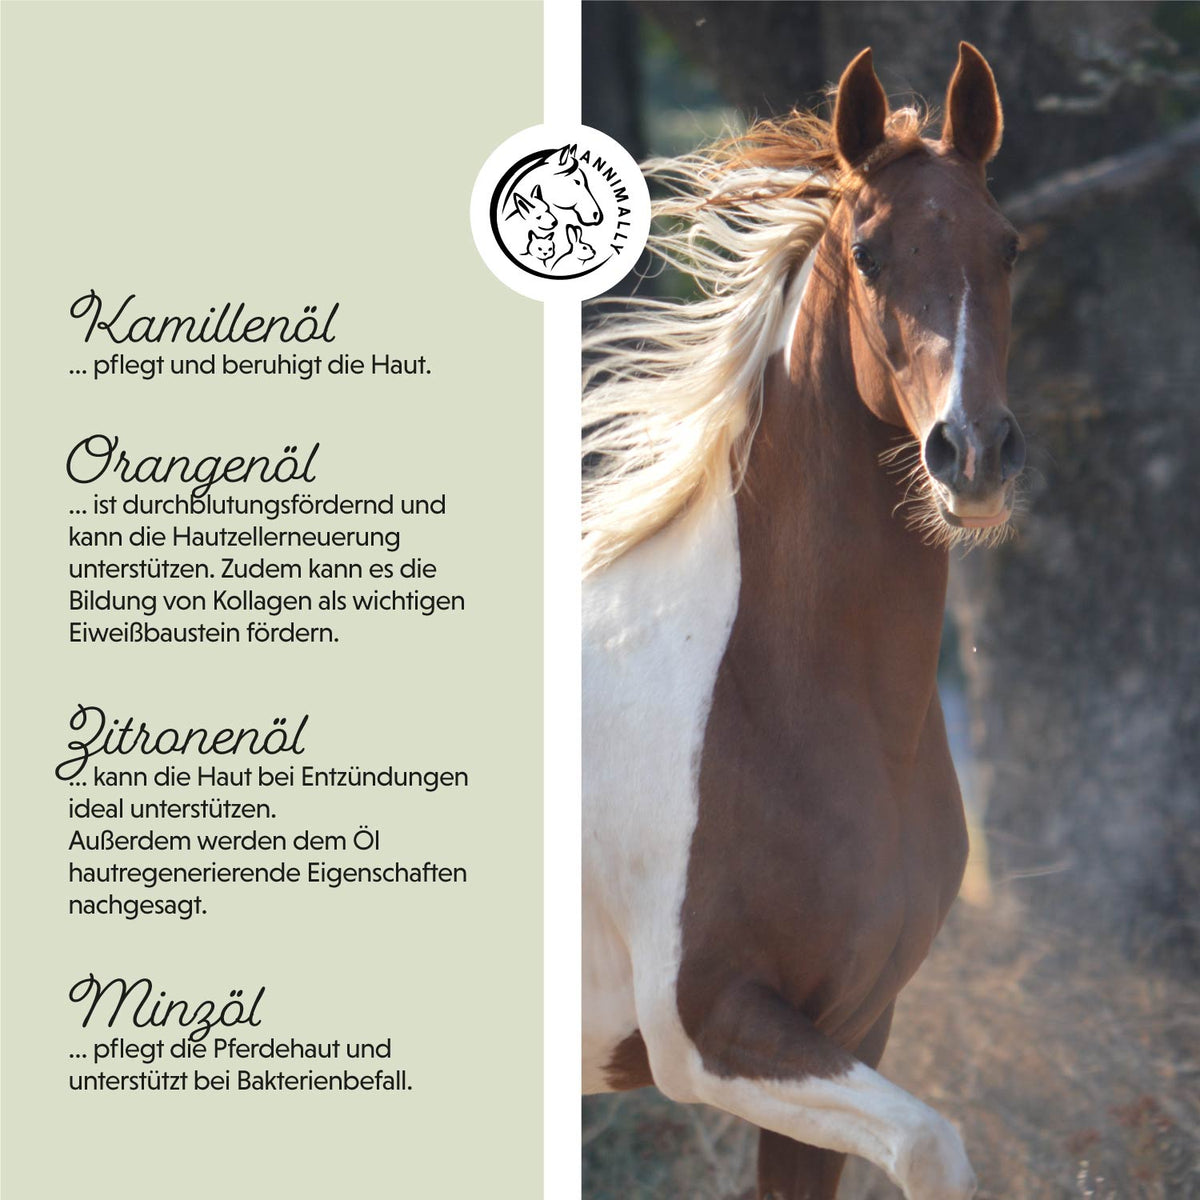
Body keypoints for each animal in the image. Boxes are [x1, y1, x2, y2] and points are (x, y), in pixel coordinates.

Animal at [582, 43, 1024, 1200]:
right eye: (867, 253)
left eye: (1008, 246)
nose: (975, 455)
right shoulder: (711, 1033)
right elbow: (933, 1145)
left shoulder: (855, 1023)